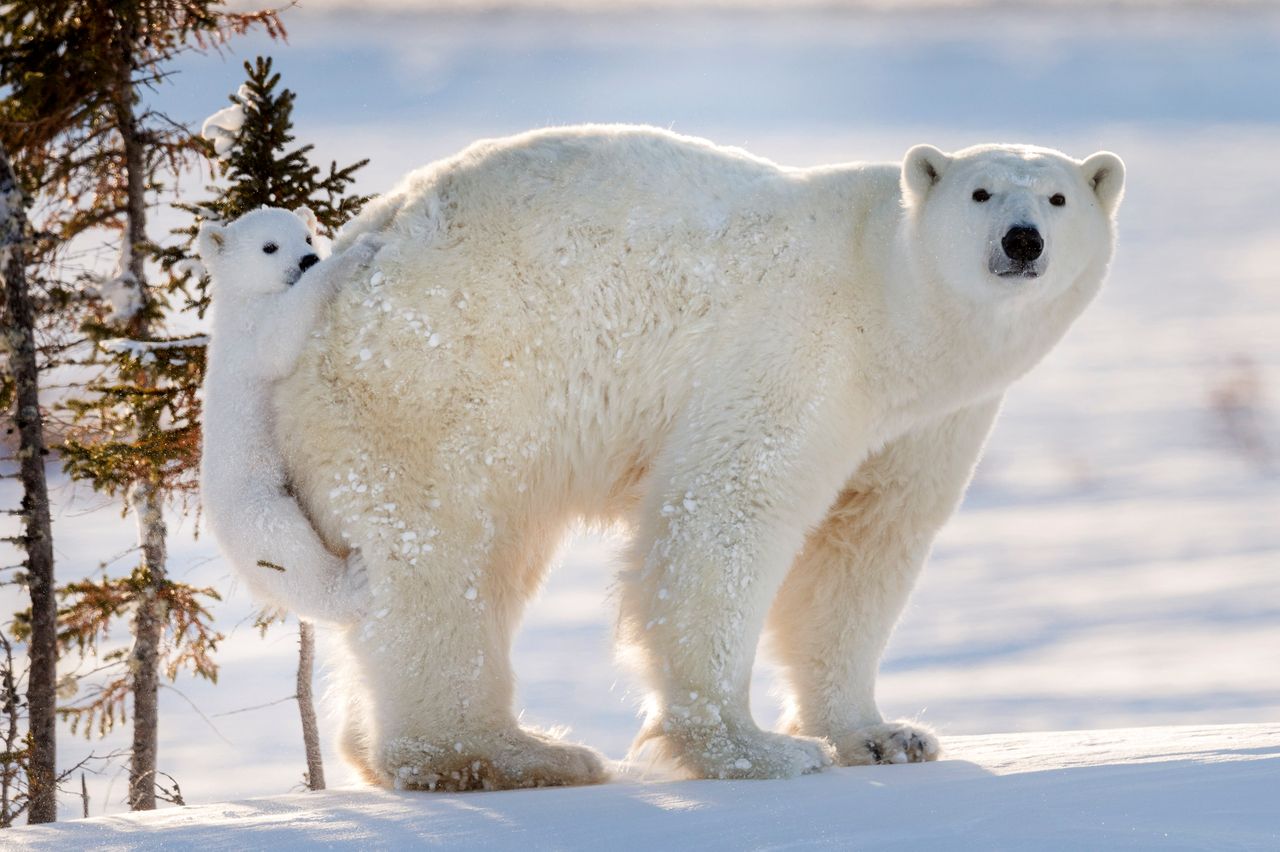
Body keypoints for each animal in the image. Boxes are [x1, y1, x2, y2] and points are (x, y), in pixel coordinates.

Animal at [197, 207, 381, 624]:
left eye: (307, 237)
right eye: (269, 246)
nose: (308, 259)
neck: (241, 299)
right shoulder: (251, 333)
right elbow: (281, 334)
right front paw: (359, 251)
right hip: (255, 500)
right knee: (285, 547)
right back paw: (354, 582)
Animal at [272, 122, 1121, 788]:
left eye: (1058, 198)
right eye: (980, 193)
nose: (1021, 241)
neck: (892, 301)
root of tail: (352, 251)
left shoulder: (929, 420)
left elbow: (864, 546)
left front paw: (885, 736)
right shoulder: (796, 347)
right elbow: (729, 510)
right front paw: (755, 750)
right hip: (432, 386)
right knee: (442, 564)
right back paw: (513, 754)